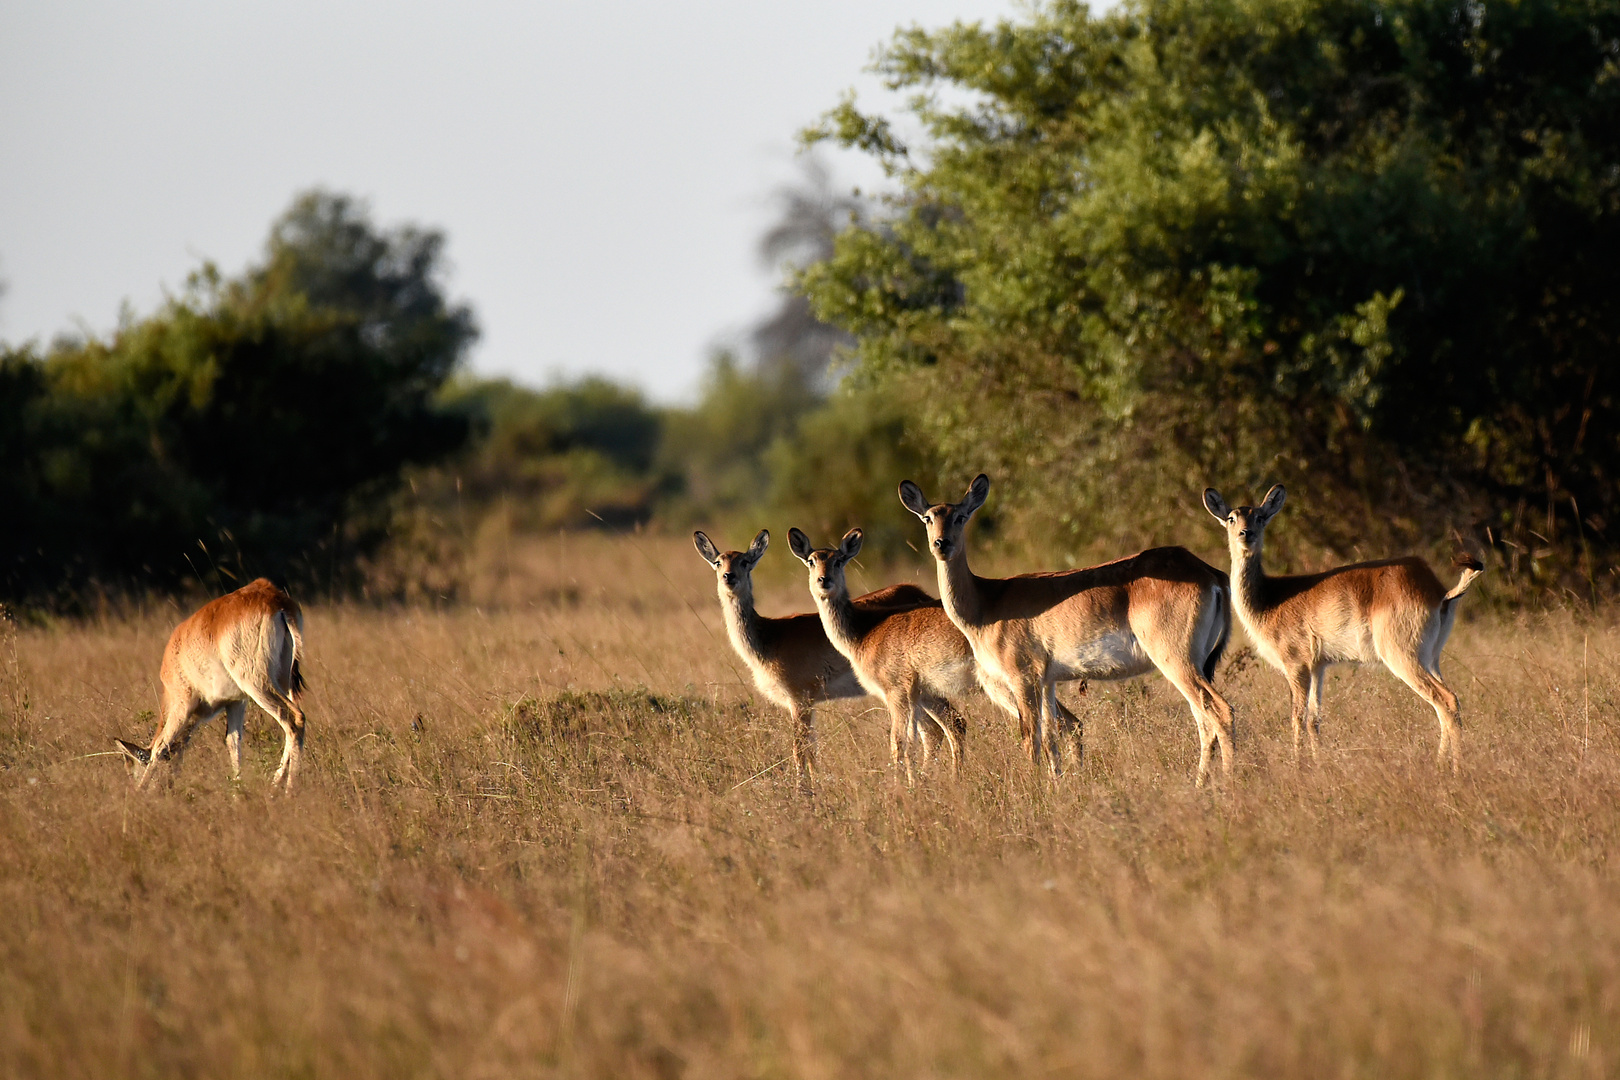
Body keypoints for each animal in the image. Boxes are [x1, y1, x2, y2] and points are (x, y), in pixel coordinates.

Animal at [114, 573, 306, 793]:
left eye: (131, 772)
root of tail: (276, 600)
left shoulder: (182, 706)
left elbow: (161, 746)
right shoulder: (236, 702)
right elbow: (233, 742)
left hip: (258, 685)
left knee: (294, 719)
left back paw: (289, 790)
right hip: (284, 683)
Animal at [690, 531, 933, 793]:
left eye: (744, 561)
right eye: (718, 562)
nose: (729, 577)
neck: (768, 638)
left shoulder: (800, 700)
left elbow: (800, 749)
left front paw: (803, 791)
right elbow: (812, 750)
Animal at [784, 527, 984, 780]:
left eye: (838, 560)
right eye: (811, 561)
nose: (824, 580)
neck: (863, 630)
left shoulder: (897, 693)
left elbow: (899, 744)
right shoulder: (918, 694)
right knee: (955, 724)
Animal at [894, 476, 1231, 780]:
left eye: (961, 516)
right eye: (928, 517)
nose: (942, 544)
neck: (986, 602)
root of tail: (1210, 573)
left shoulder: (1024, 678)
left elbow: (1030, 738)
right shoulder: (1047, 681)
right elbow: (1051, 737)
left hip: (1176, 661)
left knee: (1220, 712)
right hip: (1194, 664)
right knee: (1204, 720)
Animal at [1205, 485, 1483, 773]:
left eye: (1260, 517)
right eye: (1232, 518)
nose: (1245, 534)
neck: (1269, 599)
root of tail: (1439, 591)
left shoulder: (1296, 667)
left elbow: (1297, 718)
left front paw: (1297, 767)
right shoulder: (1318, 667)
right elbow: (1314, 720)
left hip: (1403, 658)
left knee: (1446, 700)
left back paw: (1453, 770)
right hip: (1431, 659)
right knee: (1449, 702)